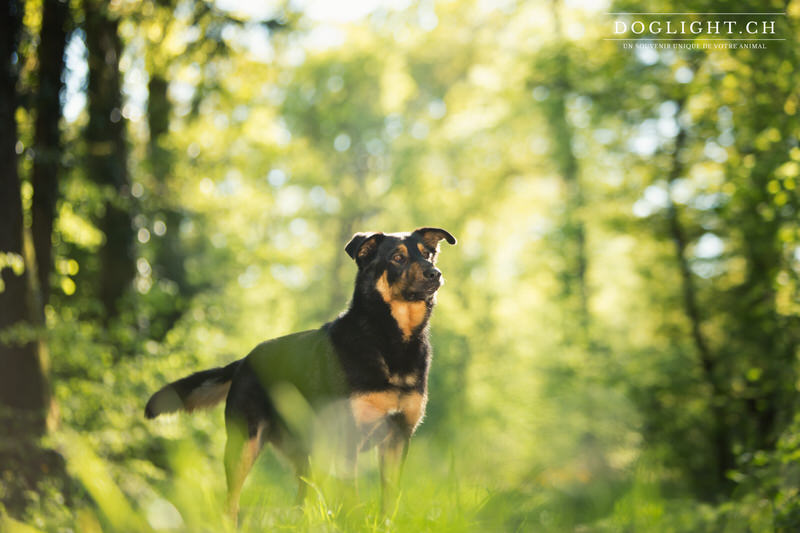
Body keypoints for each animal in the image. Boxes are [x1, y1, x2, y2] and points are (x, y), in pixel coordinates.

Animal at [145, 225, 456, 520]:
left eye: (427, 254)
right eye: (397, 258)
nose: (435, 273)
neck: (390, 339)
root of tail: (245, 360)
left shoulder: (397, 438)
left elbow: (390, 497)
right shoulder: (349, 438)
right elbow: (351, 495)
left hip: (308, 453)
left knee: (301, 498)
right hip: (243, 445)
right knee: (231, 502)